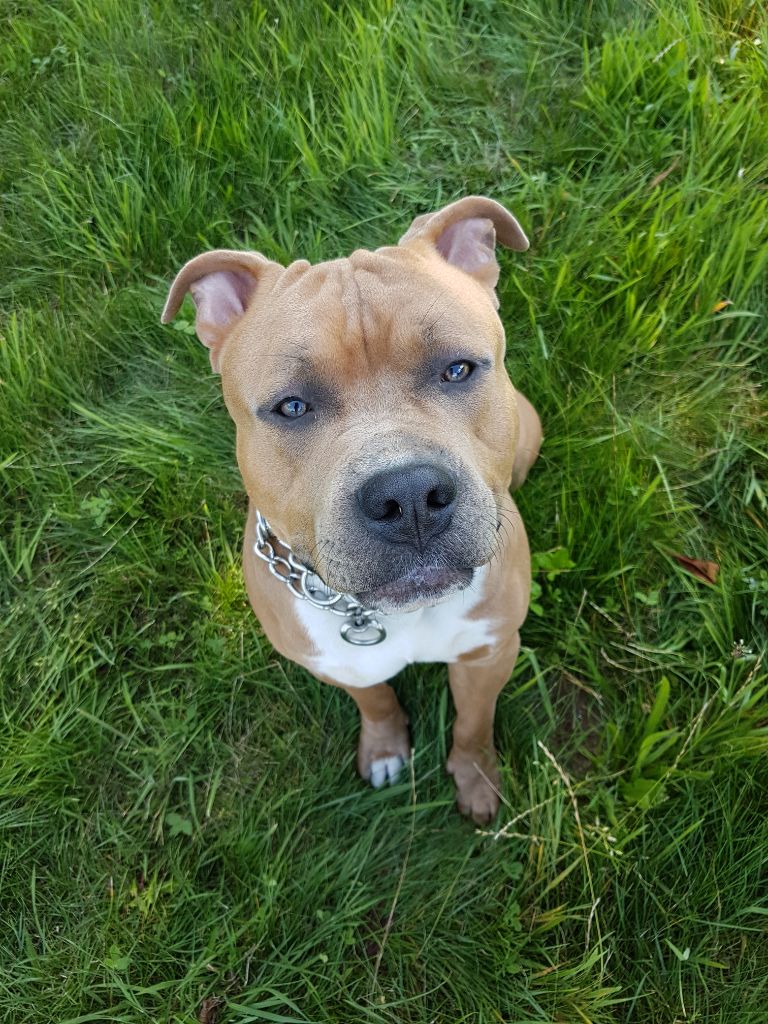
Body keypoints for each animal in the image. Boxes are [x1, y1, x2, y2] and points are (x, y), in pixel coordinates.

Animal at [162, 196, 542, 823]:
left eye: (458, 369)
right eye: (292, 406)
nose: (407, 496)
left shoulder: (488, 654)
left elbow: (472, 725)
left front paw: (477, 779)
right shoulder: (339, 666)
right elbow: (378, 702)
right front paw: (385, 749)